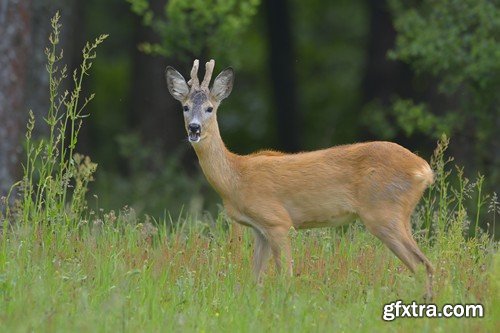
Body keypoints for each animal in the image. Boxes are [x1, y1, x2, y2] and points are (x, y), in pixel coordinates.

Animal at [166, 59, 436, 298]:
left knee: (422, 264)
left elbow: (285, 276)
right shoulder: (259, 230)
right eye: (185, 107)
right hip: (398, 214)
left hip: (383, 211)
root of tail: (424, 169)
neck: (236, 177)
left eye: (210, 108)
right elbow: (255, 279)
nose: (194, 128)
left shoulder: (277, 221)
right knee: (425, 265)